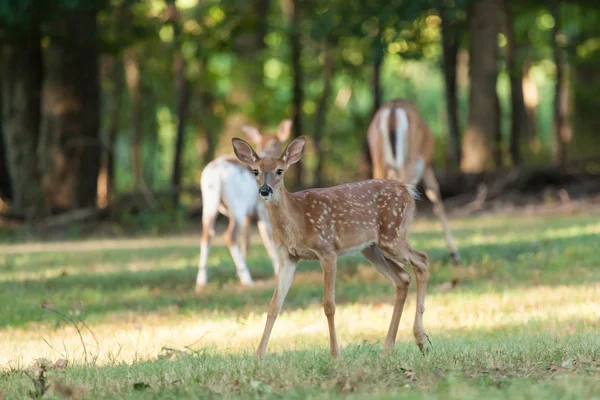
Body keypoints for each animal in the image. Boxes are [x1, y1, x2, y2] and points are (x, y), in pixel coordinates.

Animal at [196, 119, 292, 290]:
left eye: (273, 143)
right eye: (260, 143)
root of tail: (215, 174)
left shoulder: (249, 212)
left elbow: (247, 241)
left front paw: (236, 273)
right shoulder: (261, 208)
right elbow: (267, 235)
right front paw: (277, 269)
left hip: (209, 201)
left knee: (206, 234)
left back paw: (201, 281)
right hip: (237, 204)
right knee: (229, 235)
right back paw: (247, 279)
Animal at [231, 135, 432, 360]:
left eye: (279, 171)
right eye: (255, 171)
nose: (265, 190)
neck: (297, 220)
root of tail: (408, 190)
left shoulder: (327, 249)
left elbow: (329, 305)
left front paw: (336, 354)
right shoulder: (287, 256)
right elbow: (275, 304)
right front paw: (258, 356)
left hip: (392, 234)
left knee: (422, 260)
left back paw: (421, 340)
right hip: (372, 247)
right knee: (403, 278)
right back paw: (388, 349)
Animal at [368, 99, 462, 268]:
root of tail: (392, 111)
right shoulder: (427, 166)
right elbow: (436, 199)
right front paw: (454, 254)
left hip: (379, 161)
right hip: (410, 162)